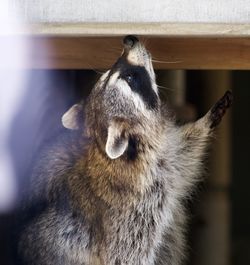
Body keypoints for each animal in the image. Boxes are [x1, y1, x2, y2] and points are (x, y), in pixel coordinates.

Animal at [18, 35, 232, 264]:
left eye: (112, 71)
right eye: (130, 78)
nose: (129, 40)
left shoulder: (166, 162)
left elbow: (185, 151)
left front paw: (206, 121)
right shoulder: (134, 213)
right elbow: (126, 254)